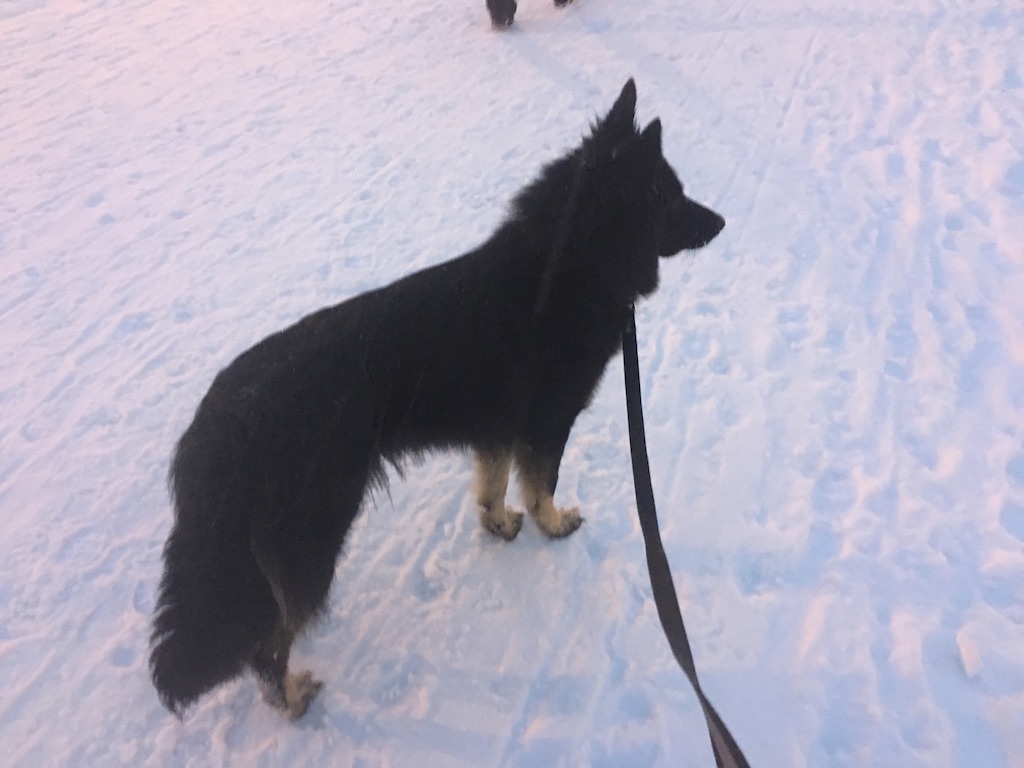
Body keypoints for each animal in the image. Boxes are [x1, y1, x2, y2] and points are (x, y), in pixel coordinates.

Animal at [153, 79, 729, 720]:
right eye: (669, 198)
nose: (722, 222)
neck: (565, 266)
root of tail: (219, 425)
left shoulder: (498, 428)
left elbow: (493, 485)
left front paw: (498, 523)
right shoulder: (546, 425)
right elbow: (541, 486)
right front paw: (552, 525)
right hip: (313, 539)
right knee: (268, 642)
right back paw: (294, 697)